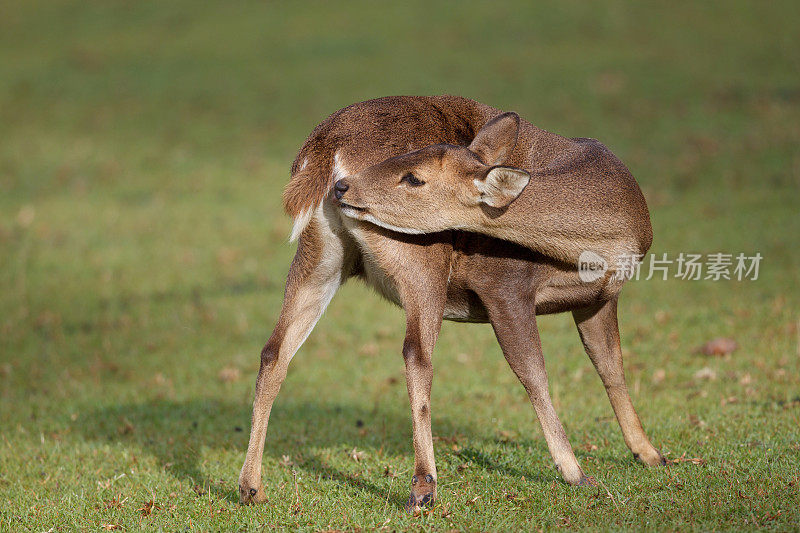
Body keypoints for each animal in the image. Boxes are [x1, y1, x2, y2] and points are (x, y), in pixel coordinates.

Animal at [238, 94, 664, 512]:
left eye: (414, 175)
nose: (343, 187)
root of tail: (324, 148)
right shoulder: (503, 283)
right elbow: (534, 373)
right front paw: (575, 472)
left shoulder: (600, 298)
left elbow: (611, 366)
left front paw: (650, 454)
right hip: (422, 256)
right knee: (416, 353)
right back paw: (423, 487)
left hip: (320, 254)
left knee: (274, 350)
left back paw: (251, 487)